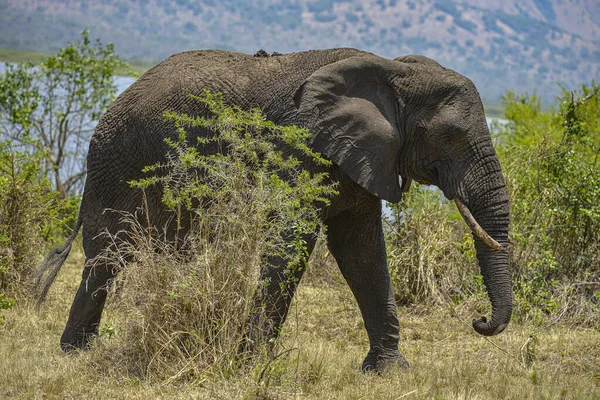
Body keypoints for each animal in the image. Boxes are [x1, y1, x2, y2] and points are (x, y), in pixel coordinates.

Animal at [35, 49, 510, 372]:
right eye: (449, 136)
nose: (479, 320)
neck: (390, 68)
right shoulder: (301, 145)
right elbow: (294, 239)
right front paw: (252, 364)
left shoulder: (361, 156)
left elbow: (361, 251)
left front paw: (387, 370)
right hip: (114, 166)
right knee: (107, 257)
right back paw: (76, 353)